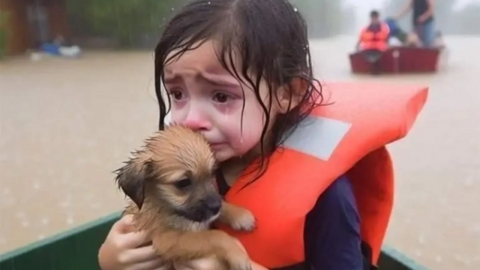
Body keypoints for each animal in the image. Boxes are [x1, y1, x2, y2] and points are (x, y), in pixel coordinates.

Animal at [115, 124, 256, 270]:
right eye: (183, 183)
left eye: (212, 173)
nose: (216, 207)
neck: (165, 207)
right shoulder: (167, 240)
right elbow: (213, 236)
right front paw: (238, 255)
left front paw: (240, 215)